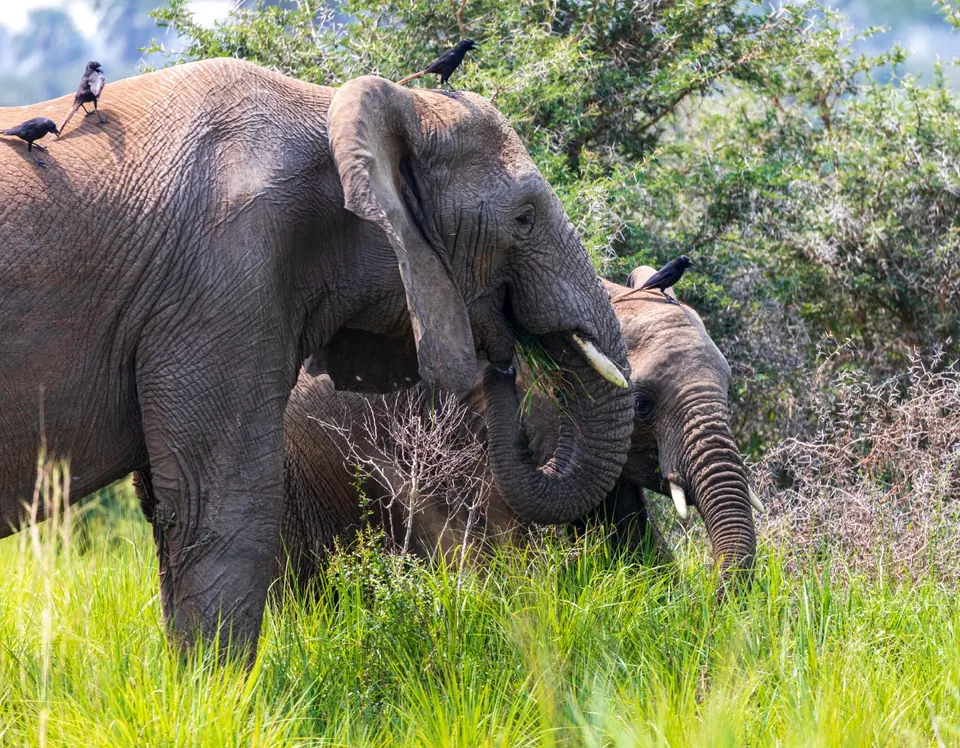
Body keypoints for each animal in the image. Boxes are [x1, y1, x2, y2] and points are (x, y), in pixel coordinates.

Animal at [0, 58, 635, 655]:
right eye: (524, 219)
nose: (504, 357)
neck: (333, 112)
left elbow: (172, 512)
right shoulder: (222, 279)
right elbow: (222, 509)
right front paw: (214, 697)